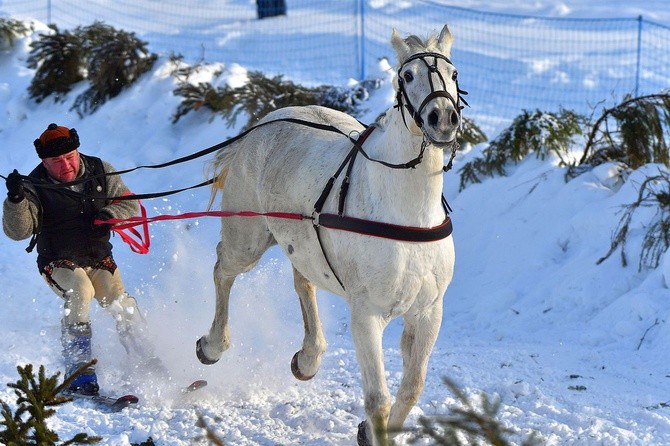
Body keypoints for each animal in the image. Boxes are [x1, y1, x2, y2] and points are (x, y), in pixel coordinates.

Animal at [197, 25, 464, 446]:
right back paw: (213, 345)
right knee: (223, 270)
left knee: (303, 283)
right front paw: (373, 428)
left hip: (302, 243)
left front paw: (369, 430)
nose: (443, 119)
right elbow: (378, 400)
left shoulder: (428, 312)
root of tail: (262, 123)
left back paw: (308, 358)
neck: (407, 213)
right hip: (248, 239)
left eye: (453, 74)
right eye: (407, 76)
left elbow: (412, 387)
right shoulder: (366, 315)